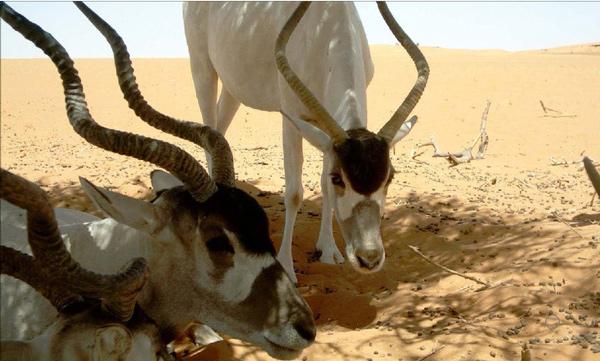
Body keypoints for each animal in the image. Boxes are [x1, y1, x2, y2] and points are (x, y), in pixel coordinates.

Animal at [183, 1, 426, 280]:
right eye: (339, 179)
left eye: (389, 177)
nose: (369, 258)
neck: (327, 27)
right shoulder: (291, 118)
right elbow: (294, 193)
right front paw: (287, 266)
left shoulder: (326, 132)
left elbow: (323, 187)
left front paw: (329, 251)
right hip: (202, 69)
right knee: (208, 124)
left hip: (234, 87)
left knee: (219, 130)